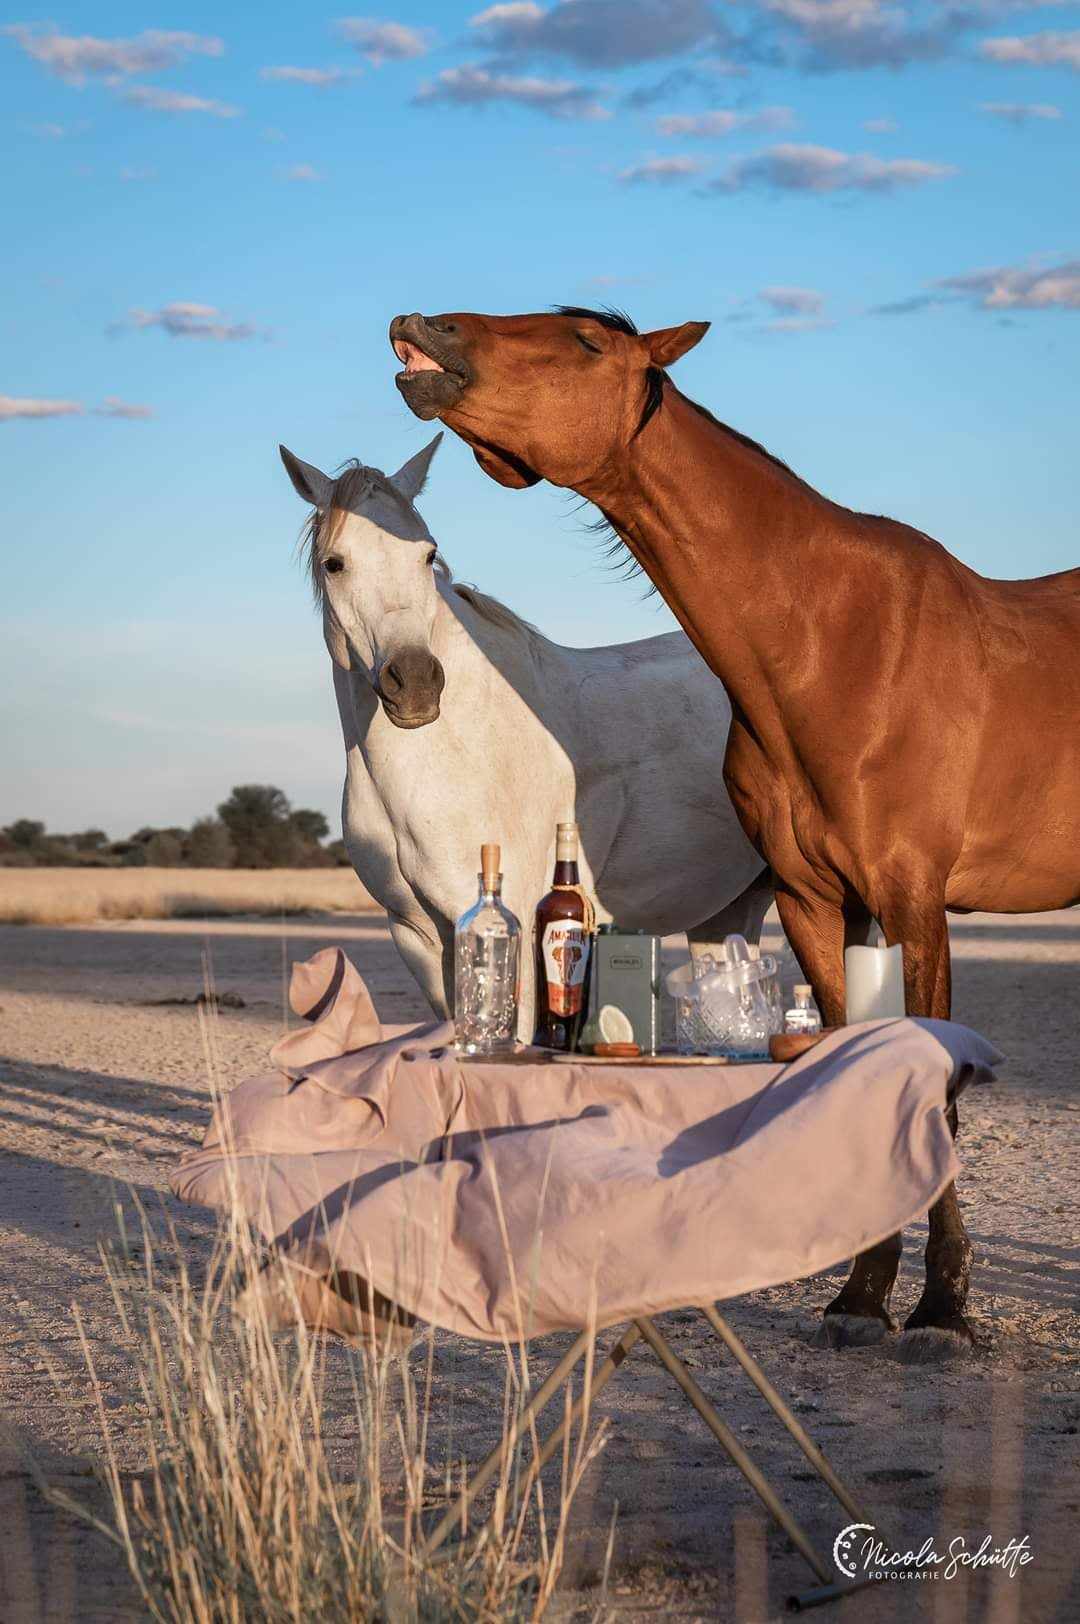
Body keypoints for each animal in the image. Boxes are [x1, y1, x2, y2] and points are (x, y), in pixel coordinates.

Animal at [279, 433, 771, 1040]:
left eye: (426, 555)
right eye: (335, 563)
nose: (415, 684)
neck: (451, 754)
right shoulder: (417, 936)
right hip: (729, 911)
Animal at [388, 304, 1080, 1361]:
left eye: (588, 340)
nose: (425, 325)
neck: (837, 644)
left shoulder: (917, 901)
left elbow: (936, 1086)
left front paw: (943, 1310)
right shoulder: (815, 903)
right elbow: (851, 1064)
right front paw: (861, 1295)